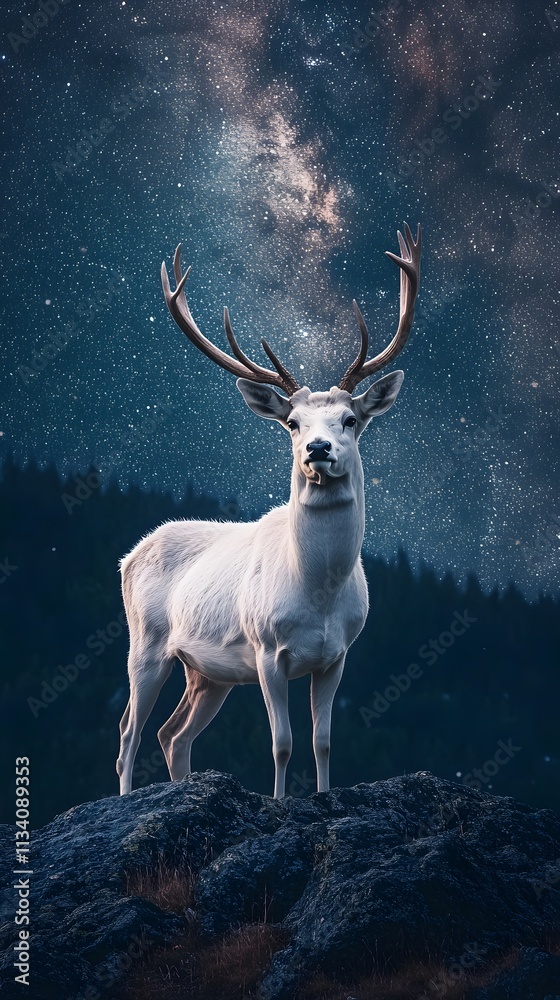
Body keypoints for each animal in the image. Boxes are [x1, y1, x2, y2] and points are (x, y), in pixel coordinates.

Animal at [116, 222, 421, 799]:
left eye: (350, 419)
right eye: (293, 423)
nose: (318, 449)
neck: (317, 591)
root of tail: (127, 556)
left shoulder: (337, 657)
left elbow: (323, 742)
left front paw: (323, 796)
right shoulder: (265, 651)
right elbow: (281, 743)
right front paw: (279, 801)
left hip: (208, 672)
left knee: (172, 733)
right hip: (145, 641)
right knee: (128, 731)